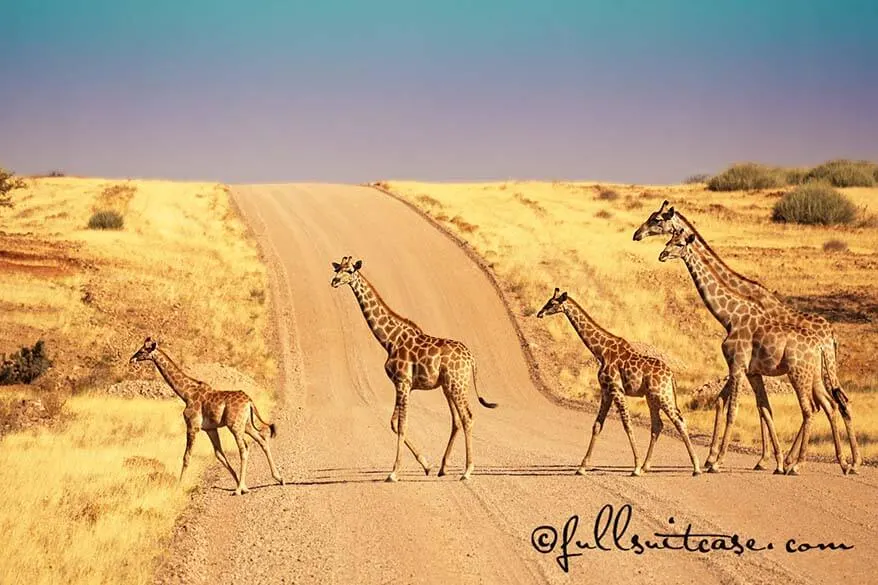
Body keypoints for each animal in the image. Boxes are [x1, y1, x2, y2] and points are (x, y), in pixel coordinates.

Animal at [129, 336, 286, 496]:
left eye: (142, 350)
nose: (131, 359)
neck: (186, 394)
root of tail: (249, 401)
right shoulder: (210, 429)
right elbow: (219, 455)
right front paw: (241, 483)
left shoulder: (192, 426)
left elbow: (187, 456)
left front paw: (179, 486)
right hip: (246, 424)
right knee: (262, 440)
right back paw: (278, 479)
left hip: (235, 426)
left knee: (244, 449)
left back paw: (238, 490)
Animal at [330, 254, 498, 480]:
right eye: (337, 268)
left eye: (350, 271)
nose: (334, 281)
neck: (389, 340)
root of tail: (471, 359)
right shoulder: (402, 385)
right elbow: (394, 423)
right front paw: (426, 465)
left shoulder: (403, 382)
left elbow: (402, 425)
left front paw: (394, 473)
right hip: (448, 387)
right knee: (456, 420)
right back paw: (443, 468)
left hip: (457, 385)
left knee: (467, 417)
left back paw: (467, 471)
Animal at [536, 286, 700, 474]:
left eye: (552, 303)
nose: (539, 313)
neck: (601, 351)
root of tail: (671, 375)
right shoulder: (606, 391)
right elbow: (597, 425)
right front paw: (582, 467)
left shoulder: (616, 389)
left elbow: (627, 424)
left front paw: (635, 466)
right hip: (652, 398)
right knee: (658, 425)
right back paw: (646, 466)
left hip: (662, 395)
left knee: (679, 421)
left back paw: (696, 467)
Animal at [636, 198, 864, 472]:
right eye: (668, 237)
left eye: (657, 219)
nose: (637, 235)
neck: (731, 315)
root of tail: (829, 335)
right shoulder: (750, 369)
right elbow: (752, 406)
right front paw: (761, 459)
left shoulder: (739, 365)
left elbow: (738, 408)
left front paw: (724, 460)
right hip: (818, 372)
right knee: (832, 404)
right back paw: (842, 462)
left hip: (809, 372)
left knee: (825, 406)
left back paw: (820, 462)